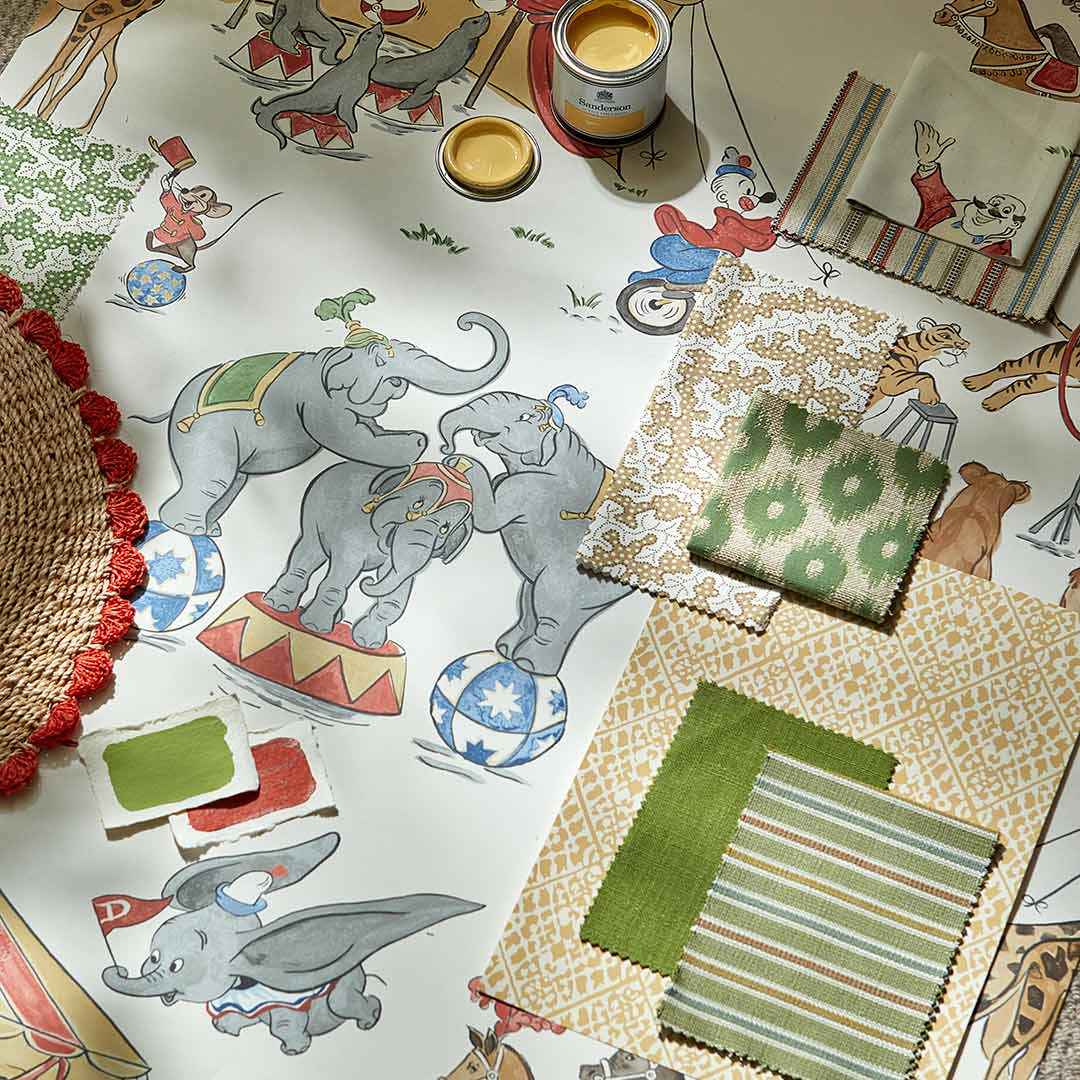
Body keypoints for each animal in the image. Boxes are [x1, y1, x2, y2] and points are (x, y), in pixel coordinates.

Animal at [100, 833, 482, 1056]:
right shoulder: (240, 1002)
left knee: (347, 1004)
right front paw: (225, 1030)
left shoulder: (284, 1006)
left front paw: (294, 1052)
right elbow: (237, 1019)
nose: (117, 968)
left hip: (344, 987)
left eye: (176, 965)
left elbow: (285, 1024)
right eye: (153, 957)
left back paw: (371, 1019)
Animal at [132, 311, 508, 537]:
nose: (465, 323)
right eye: (380, 360)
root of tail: (172, 406)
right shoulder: (317, 402)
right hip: (206, 433)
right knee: (214, 479)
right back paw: (190, 530)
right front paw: (416, 443)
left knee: (232, 484)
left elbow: (367, 427)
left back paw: (210, 530)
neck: (328, 356)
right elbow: (349, 437)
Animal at [263, 458, 474, 646]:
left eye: (445, 529)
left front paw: (368, 642)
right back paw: (277, 604)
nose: (368, 581)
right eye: (418, 504)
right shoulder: (352, 534)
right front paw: (314, 627)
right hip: (312, 513)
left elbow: (398, 591)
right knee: (309, 552)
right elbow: (343, 573)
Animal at [438, 385, 630, 677]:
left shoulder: (531, 489)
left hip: (565, 580)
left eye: (525, 418)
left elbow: (490, 518)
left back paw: (529, 664)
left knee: (550, 609)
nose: (445, 447)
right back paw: (507, 649)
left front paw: (462, 462)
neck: (563, 445)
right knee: (531, 604)